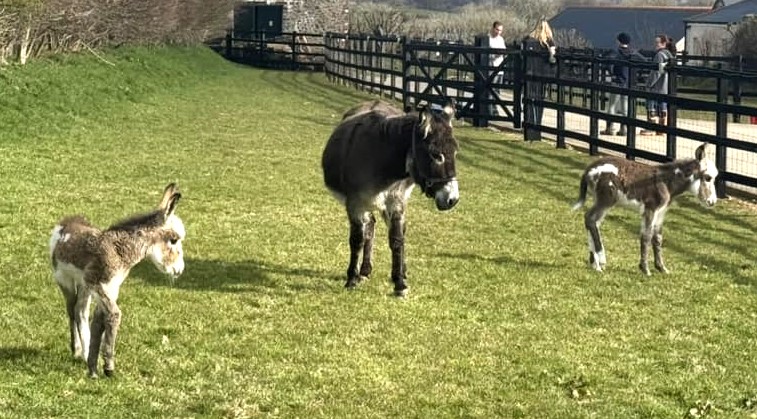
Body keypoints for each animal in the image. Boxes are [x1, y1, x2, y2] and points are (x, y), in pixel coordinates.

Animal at [49, 183, 185, 378]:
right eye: (173, 240)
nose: (179, 270)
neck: (118, 249)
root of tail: (66, 222)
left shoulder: (111, 287)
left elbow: (100, 321)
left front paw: (93, 365)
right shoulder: (99, 284)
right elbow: (114, 315)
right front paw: (108, 368)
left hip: (84, 286)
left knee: (80, 311)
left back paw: (84, 352)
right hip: (65, 280)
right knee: (71, 310)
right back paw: (76, 349)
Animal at [572, 144, 716, 276]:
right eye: (708, 177)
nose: (712, 202)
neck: (666, 182)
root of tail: (589, 169)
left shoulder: (660, 212)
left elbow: (657, 238)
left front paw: (661, 268)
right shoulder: (650, 210)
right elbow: (646, 236)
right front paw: (645, 269)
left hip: (601, 202)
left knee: (593, 222)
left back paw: (595, 263)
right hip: (606, 201)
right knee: (590, 218)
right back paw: (601, 260)